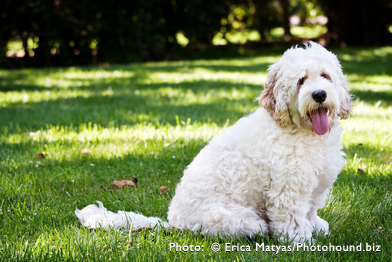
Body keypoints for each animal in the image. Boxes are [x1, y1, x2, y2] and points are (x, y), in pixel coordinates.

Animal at [75, 42, 350, 243]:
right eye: (301, 81)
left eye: (325, 76)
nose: (319, 94)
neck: (302, 131)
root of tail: (173, 222)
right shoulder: (288, 188)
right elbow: (292, 217)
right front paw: (301, 240)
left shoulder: (317, 185)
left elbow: (311, 210)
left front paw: (316, 227)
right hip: (238, 219)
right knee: (253, 228)